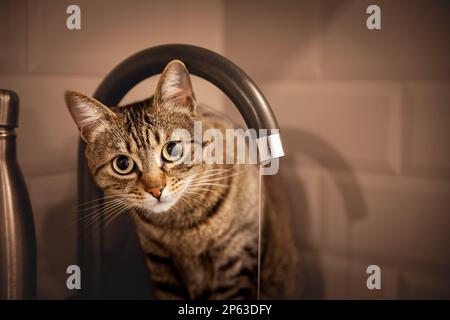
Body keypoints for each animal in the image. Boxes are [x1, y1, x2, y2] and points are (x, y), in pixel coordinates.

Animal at [64, 60, 298, 300]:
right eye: (122, 164)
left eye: (172, 149)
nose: (156, 189)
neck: (182, 227)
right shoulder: (160, 264)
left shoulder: (237, 256)